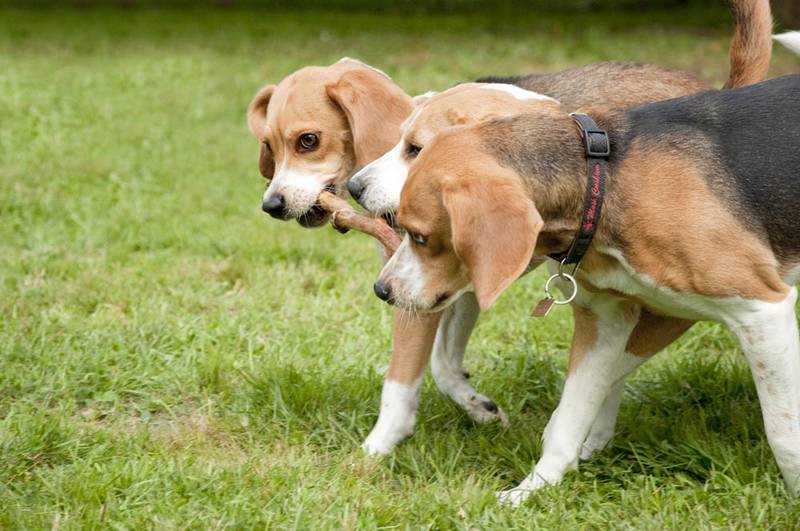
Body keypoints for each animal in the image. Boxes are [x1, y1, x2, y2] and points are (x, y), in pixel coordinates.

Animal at [246, 0, 773, 456]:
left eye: (308, 141)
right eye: (270, 144)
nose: (272, 204)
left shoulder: (417, 291)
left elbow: (400, 382)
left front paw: (373, 453)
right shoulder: (454, 279)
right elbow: (444, 364)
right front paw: (477, 407)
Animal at [375, 67, 800, 503]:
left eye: (420, 236)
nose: (382, 290)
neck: (604, 179)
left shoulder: (761, 312)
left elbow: (784, 432)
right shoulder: (606, 322)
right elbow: (571, 417)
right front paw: (532, 489)